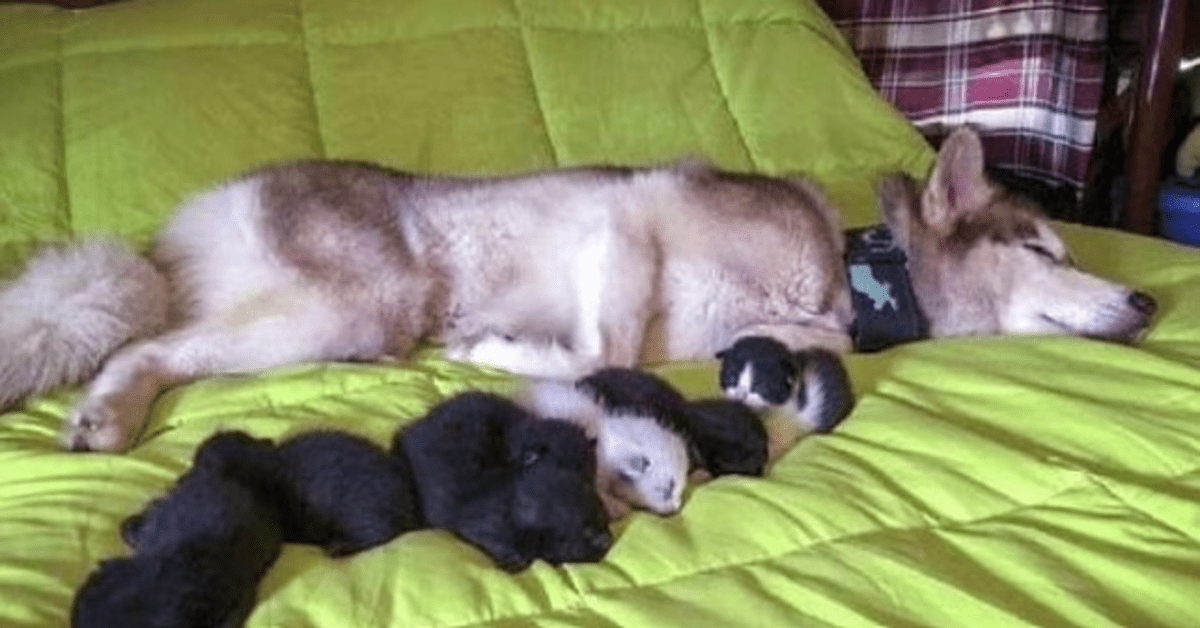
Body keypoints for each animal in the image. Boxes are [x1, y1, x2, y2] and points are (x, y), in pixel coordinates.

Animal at [2, 127, 1161, 451]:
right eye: (1046, 248)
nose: (1152, 304)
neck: (853, 274)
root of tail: (170, 238)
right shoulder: (627, 220)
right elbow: (604, 349)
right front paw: (499, 351)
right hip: (347, 305)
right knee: (146, 348)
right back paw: (107, 410)